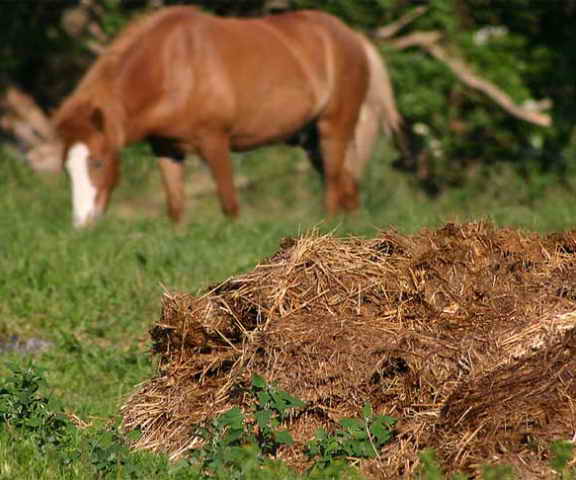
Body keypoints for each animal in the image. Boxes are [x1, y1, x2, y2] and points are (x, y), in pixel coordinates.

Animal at [55, 5, 404, 227]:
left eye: (97, 162)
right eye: (67, 168)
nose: (82, 222)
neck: (173, 65)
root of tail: (353, 37)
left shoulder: (215, 142)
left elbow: (229, 205)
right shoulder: (166, 149)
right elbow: (176, 207)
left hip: (334, 127)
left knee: (333, 185)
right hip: (311, 140)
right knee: (348, 186)